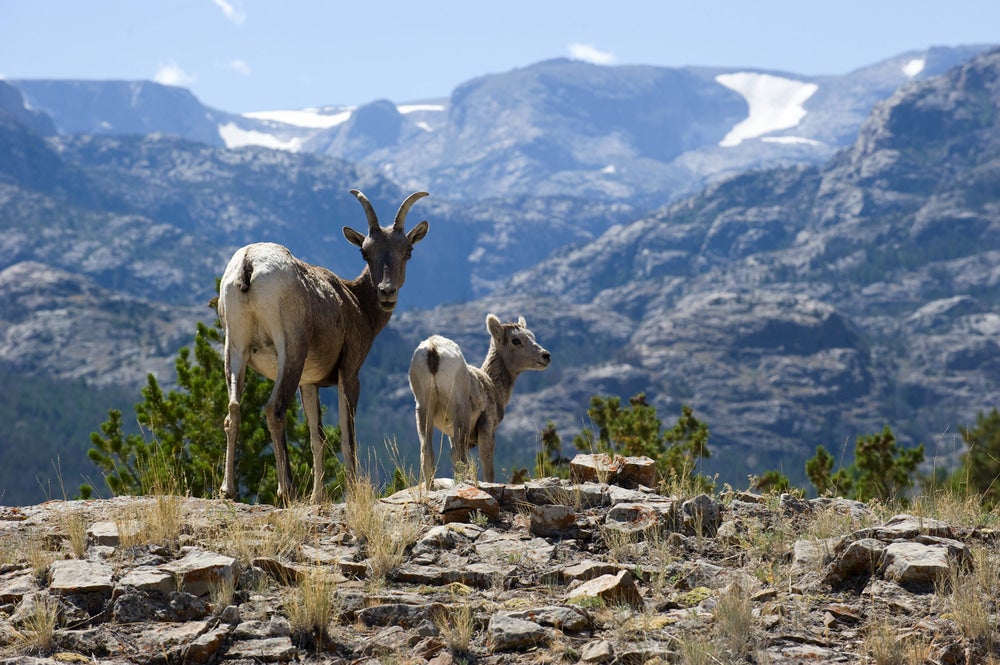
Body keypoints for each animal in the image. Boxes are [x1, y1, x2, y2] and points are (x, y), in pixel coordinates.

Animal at [220, 189, 430, 500]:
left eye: (407, 251)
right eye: (365, 252)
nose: (386, 292)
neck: (356, 303)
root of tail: (249, 264)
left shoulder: (309, 383)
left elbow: (316, 437)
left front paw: (317, 496)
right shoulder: (349, 372)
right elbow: (347, 436)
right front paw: (352, 491)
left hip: (235, 349)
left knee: (233, 409)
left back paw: (228, 490)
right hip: (291, 351)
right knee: (274, 409)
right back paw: (287, 490)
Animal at [404, 312, 552, 488]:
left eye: (532, 336)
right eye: (516, 340)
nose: (546, 356)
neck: (493, 385)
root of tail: (433, 349)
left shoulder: (450, 433)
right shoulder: (486, 426)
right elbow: (488, 469)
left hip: (423, 407)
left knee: (426, 451)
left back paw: (430, 488)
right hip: (459, 410)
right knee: (457, 454)